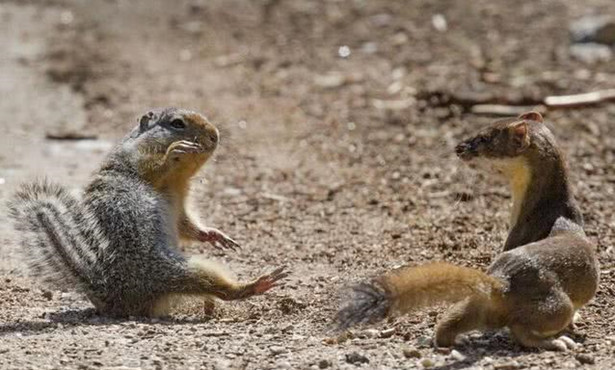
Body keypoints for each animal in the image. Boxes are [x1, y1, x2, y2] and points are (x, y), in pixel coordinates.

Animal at [9, 107, 288, 318]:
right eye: (177, 123)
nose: (215, 135)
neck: (176, 181)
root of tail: (115, 300)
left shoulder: (179, 205)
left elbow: (186, 226)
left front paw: (214, 235)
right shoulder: (138, 164)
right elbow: (155, 167)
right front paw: (175, 151)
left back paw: (210, 306)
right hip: (174, 271)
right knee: (219, 289)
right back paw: (255, 285)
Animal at [336, 112, 600, 350]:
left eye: (484, 137)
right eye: (482, 128)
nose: (458, 147)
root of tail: (500, 281)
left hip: (541, 304)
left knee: (473, 323)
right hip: (548, 303)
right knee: (510, 327)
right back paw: (556, 340)